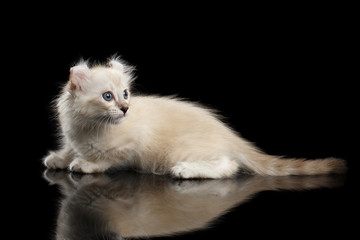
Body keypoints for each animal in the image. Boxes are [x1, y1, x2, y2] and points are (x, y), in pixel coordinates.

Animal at [43, 56, 346, 178]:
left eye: (126, 94)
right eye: (108, 96)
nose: (126, 109)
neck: (87, 126)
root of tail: (232, 137)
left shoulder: (129, 148)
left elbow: (105, 160)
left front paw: (85, 164)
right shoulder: (71, 135)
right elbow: (68, 149)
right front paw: (58, 159)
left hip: (182, 152)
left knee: (229, 166)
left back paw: (186, 171)